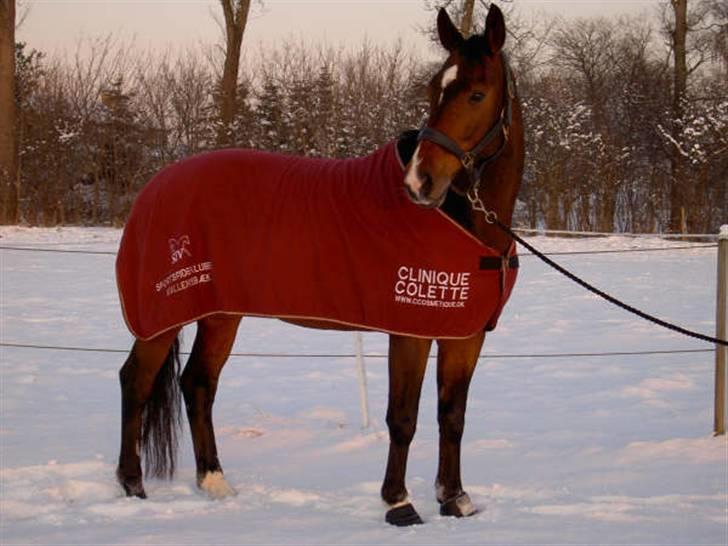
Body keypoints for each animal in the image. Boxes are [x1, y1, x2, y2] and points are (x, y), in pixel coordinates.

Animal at [114, 3, 524, 524]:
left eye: (476, 93)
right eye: (435, 89)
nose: (420, 182)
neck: (468, 222)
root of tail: (154, 186)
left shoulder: (464, 333)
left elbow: (452, 415)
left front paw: (455, 499)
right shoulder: (409, 330)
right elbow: (403, 417)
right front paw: (399, 503)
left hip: (220, 314)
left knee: (198, 383)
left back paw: (215, 482)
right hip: (163, 314)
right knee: (137, 381)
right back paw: (132, 485)